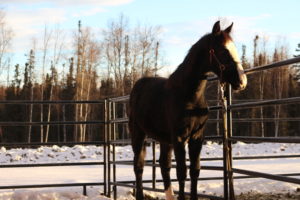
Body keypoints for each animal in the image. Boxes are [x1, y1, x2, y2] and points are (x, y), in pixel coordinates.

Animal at [128, 21, 246, 199]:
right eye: (223, 51)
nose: (242, 81)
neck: (189, 95)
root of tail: (137, 86)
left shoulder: (197, 137)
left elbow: (195, 171)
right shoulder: (179, 138)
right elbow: (182, 172)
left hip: (164, 139)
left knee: (164, 166)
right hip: (138, 133)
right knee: (139, 166)